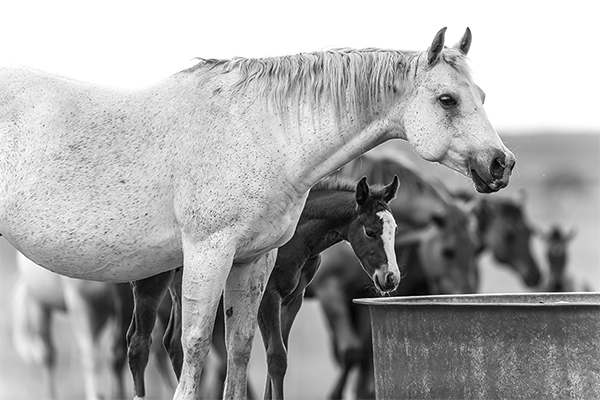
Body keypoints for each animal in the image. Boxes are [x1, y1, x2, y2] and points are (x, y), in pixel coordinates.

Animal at [1, 26, 516, 398]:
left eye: (483, 96)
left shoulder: (254, 263)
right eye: (447, 99)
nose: (501, 163)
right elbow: (195, 347)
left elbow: (243, 350)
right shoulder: (209, 253)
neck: (265, 132)